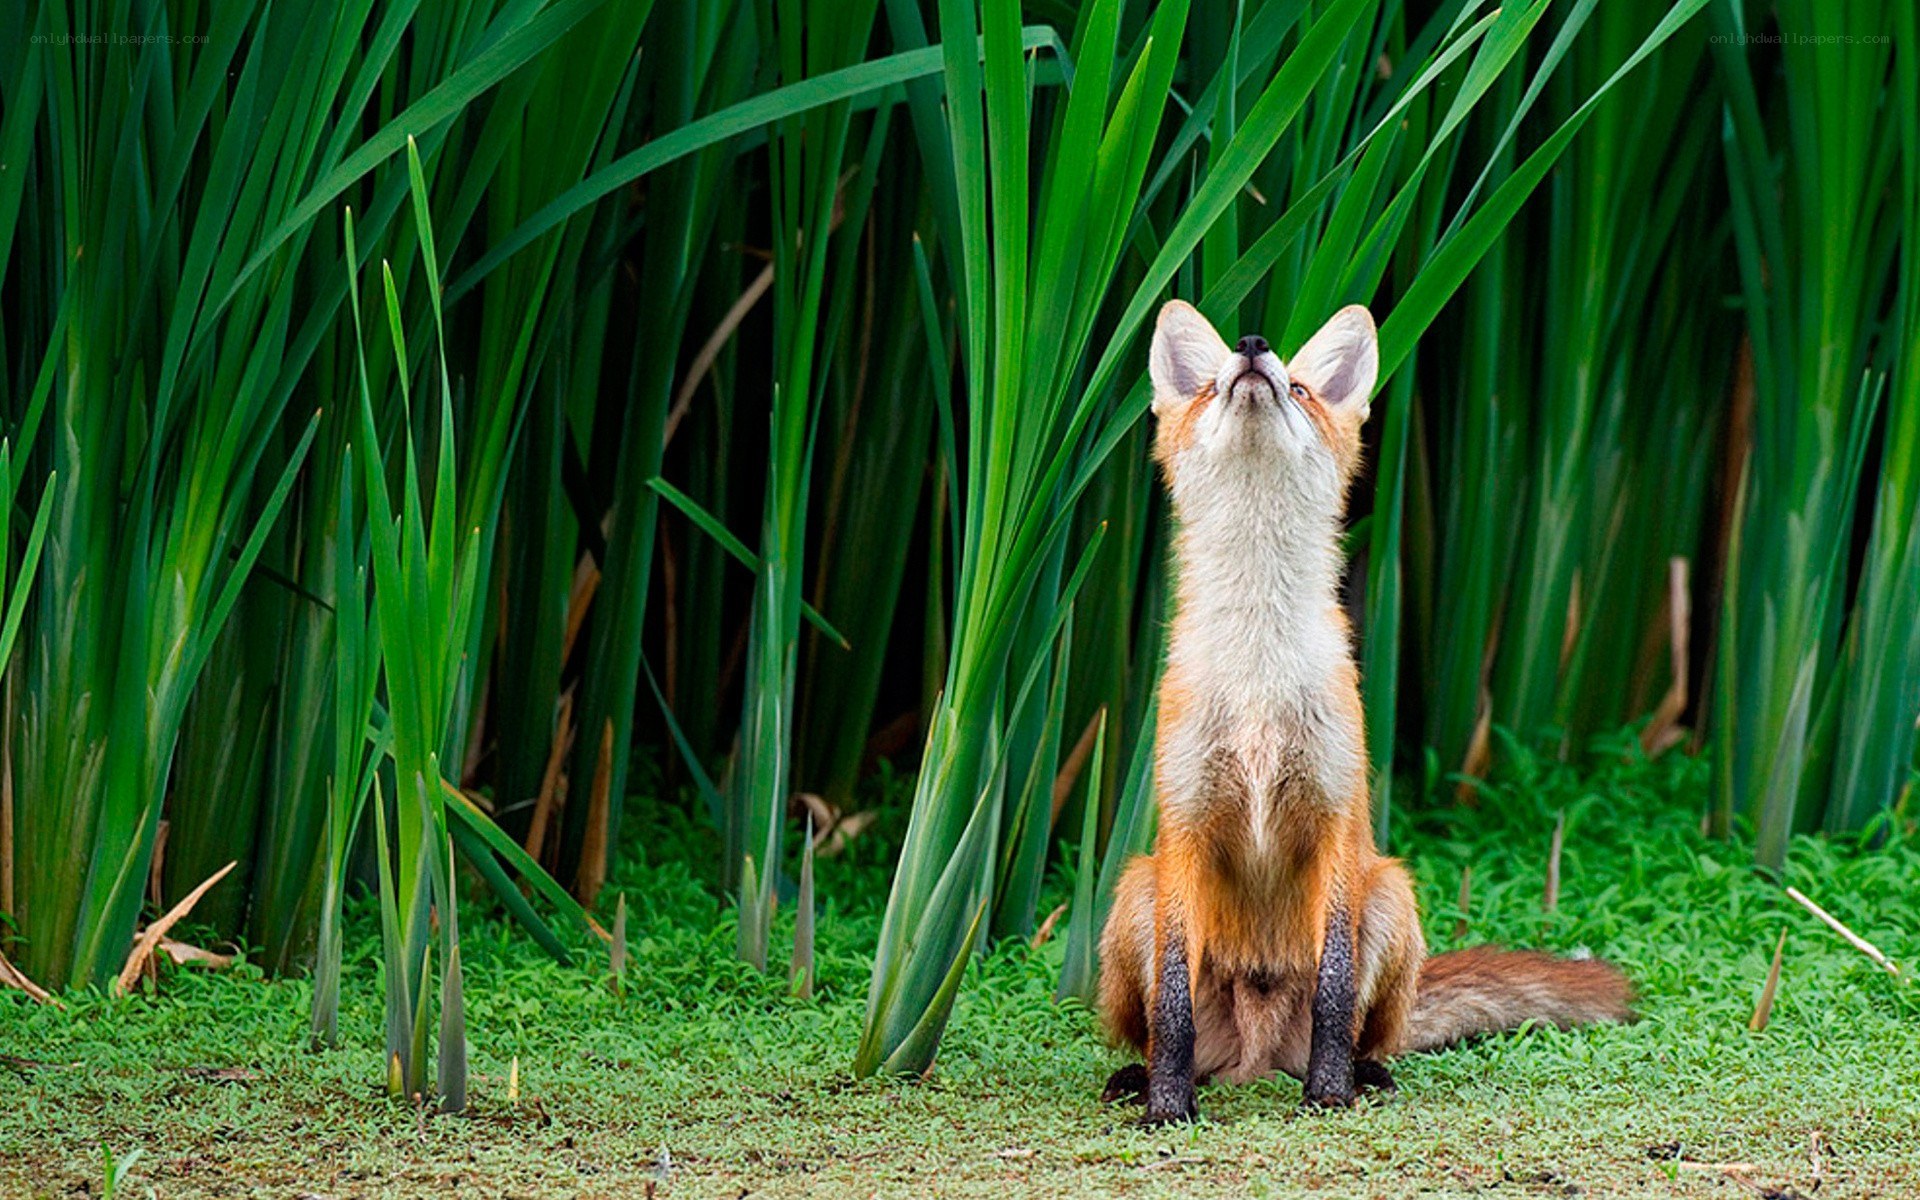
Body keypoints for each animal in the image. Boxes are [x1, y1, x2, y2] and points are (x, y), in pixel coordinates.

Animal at [1096, 300, 1631, 1123]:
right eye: (1213, 385)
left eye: (1303, 389)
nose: (1252, 346)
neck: (1259, 676)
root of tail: (1255, 1056)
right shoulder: (1183, 830)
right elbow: (1175, 1006)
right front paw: (1169, 1107)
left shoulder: (1336, 822)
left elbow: (1335, 988)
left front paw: (1327, 1093)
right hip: (1135, 894)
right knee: (1160, 1028)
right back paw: (1141, 1077)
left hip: (1391, 896)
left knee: (1364, 1029)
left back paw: (1362, 1073)